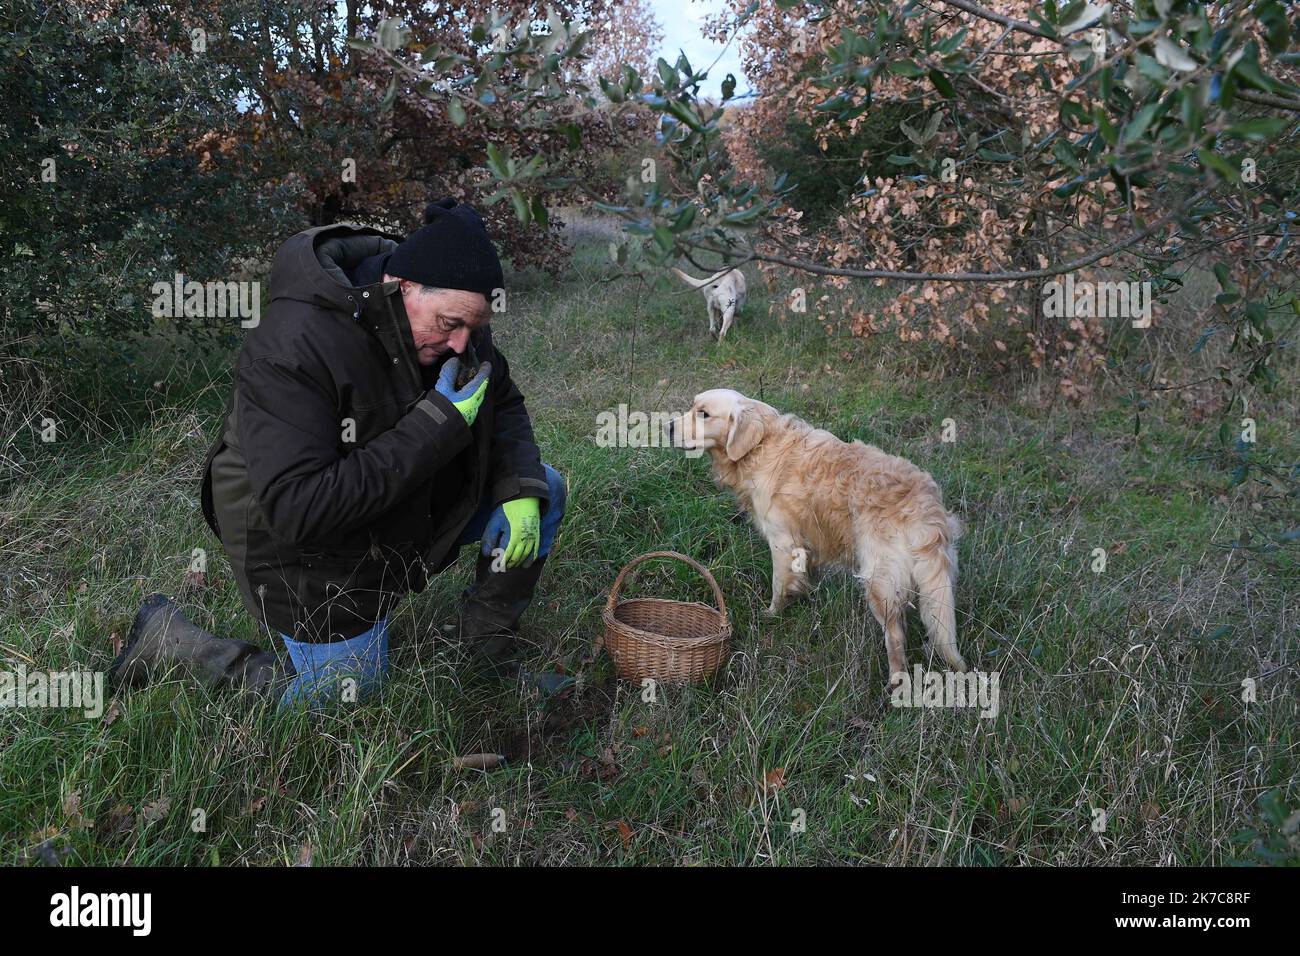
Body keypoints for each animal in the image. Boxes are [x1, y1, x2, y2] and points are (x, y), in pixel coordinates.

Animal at [670, 390, 967, 686]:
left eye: (704, 414)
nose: (668, 426)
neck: (761, 447)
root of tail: (924, 505)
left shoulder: (784, 542)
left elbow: (779, 585)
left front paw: (772, 613)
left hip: (880, 582)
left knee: (895, 637)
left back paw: (896, 680)